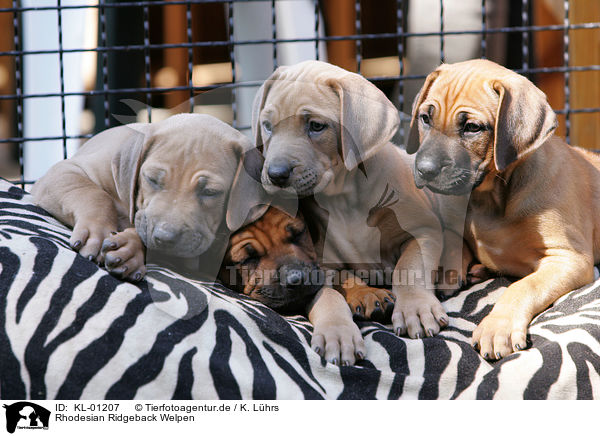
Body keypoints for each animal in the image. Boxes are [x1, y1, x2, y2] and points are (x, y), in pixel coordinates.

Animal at [31, 114, 264, 282]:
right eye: (151, 179)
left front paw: (130, 249)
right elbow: (94, 194)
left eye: (210, 192)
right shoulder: (64, 171)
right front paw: (98, 231)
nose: (165, 237)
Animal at [251, 60, 448, 364]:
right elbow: (328, 295)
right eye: (268, 126)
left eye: (316, 126)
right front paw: (338, 330)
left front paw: (415, 308)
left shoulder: (424, 230)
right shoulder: (318, 263)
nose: (275, 174)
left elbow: (409, 267)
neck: (343, 199)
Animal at [404, 59, 600, 360]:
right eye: (425, 118)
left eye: (472, 127)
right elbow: (449, 241)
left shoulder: (569, 258)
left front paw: (498, 327)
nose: (424, 170)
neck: (490, 198)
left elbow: (524, 286)